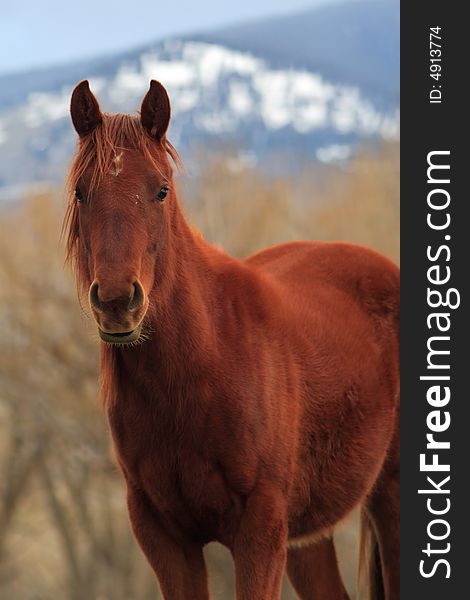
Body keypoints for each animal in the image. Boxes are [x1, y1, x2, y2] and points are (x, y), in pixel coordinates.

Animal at [64, 81, 398, 600]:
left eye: (161, 190)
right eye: (82, 192)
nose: (118, 301)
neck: (206, 363)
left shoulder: (260, 531)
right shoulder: (164, 537)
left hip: (392, 499)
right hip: (307, 537)